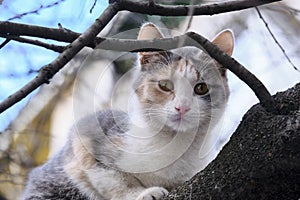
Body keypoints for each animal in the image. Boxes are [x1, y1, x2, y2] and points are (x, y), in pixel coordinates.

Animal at [22, 23, 234, 200]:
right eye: (165, 85)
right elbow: (116, 182)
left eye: (201, 88)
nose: (182, 106)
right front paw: (144, 193)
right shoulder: (87, 134)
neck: (174, 144)